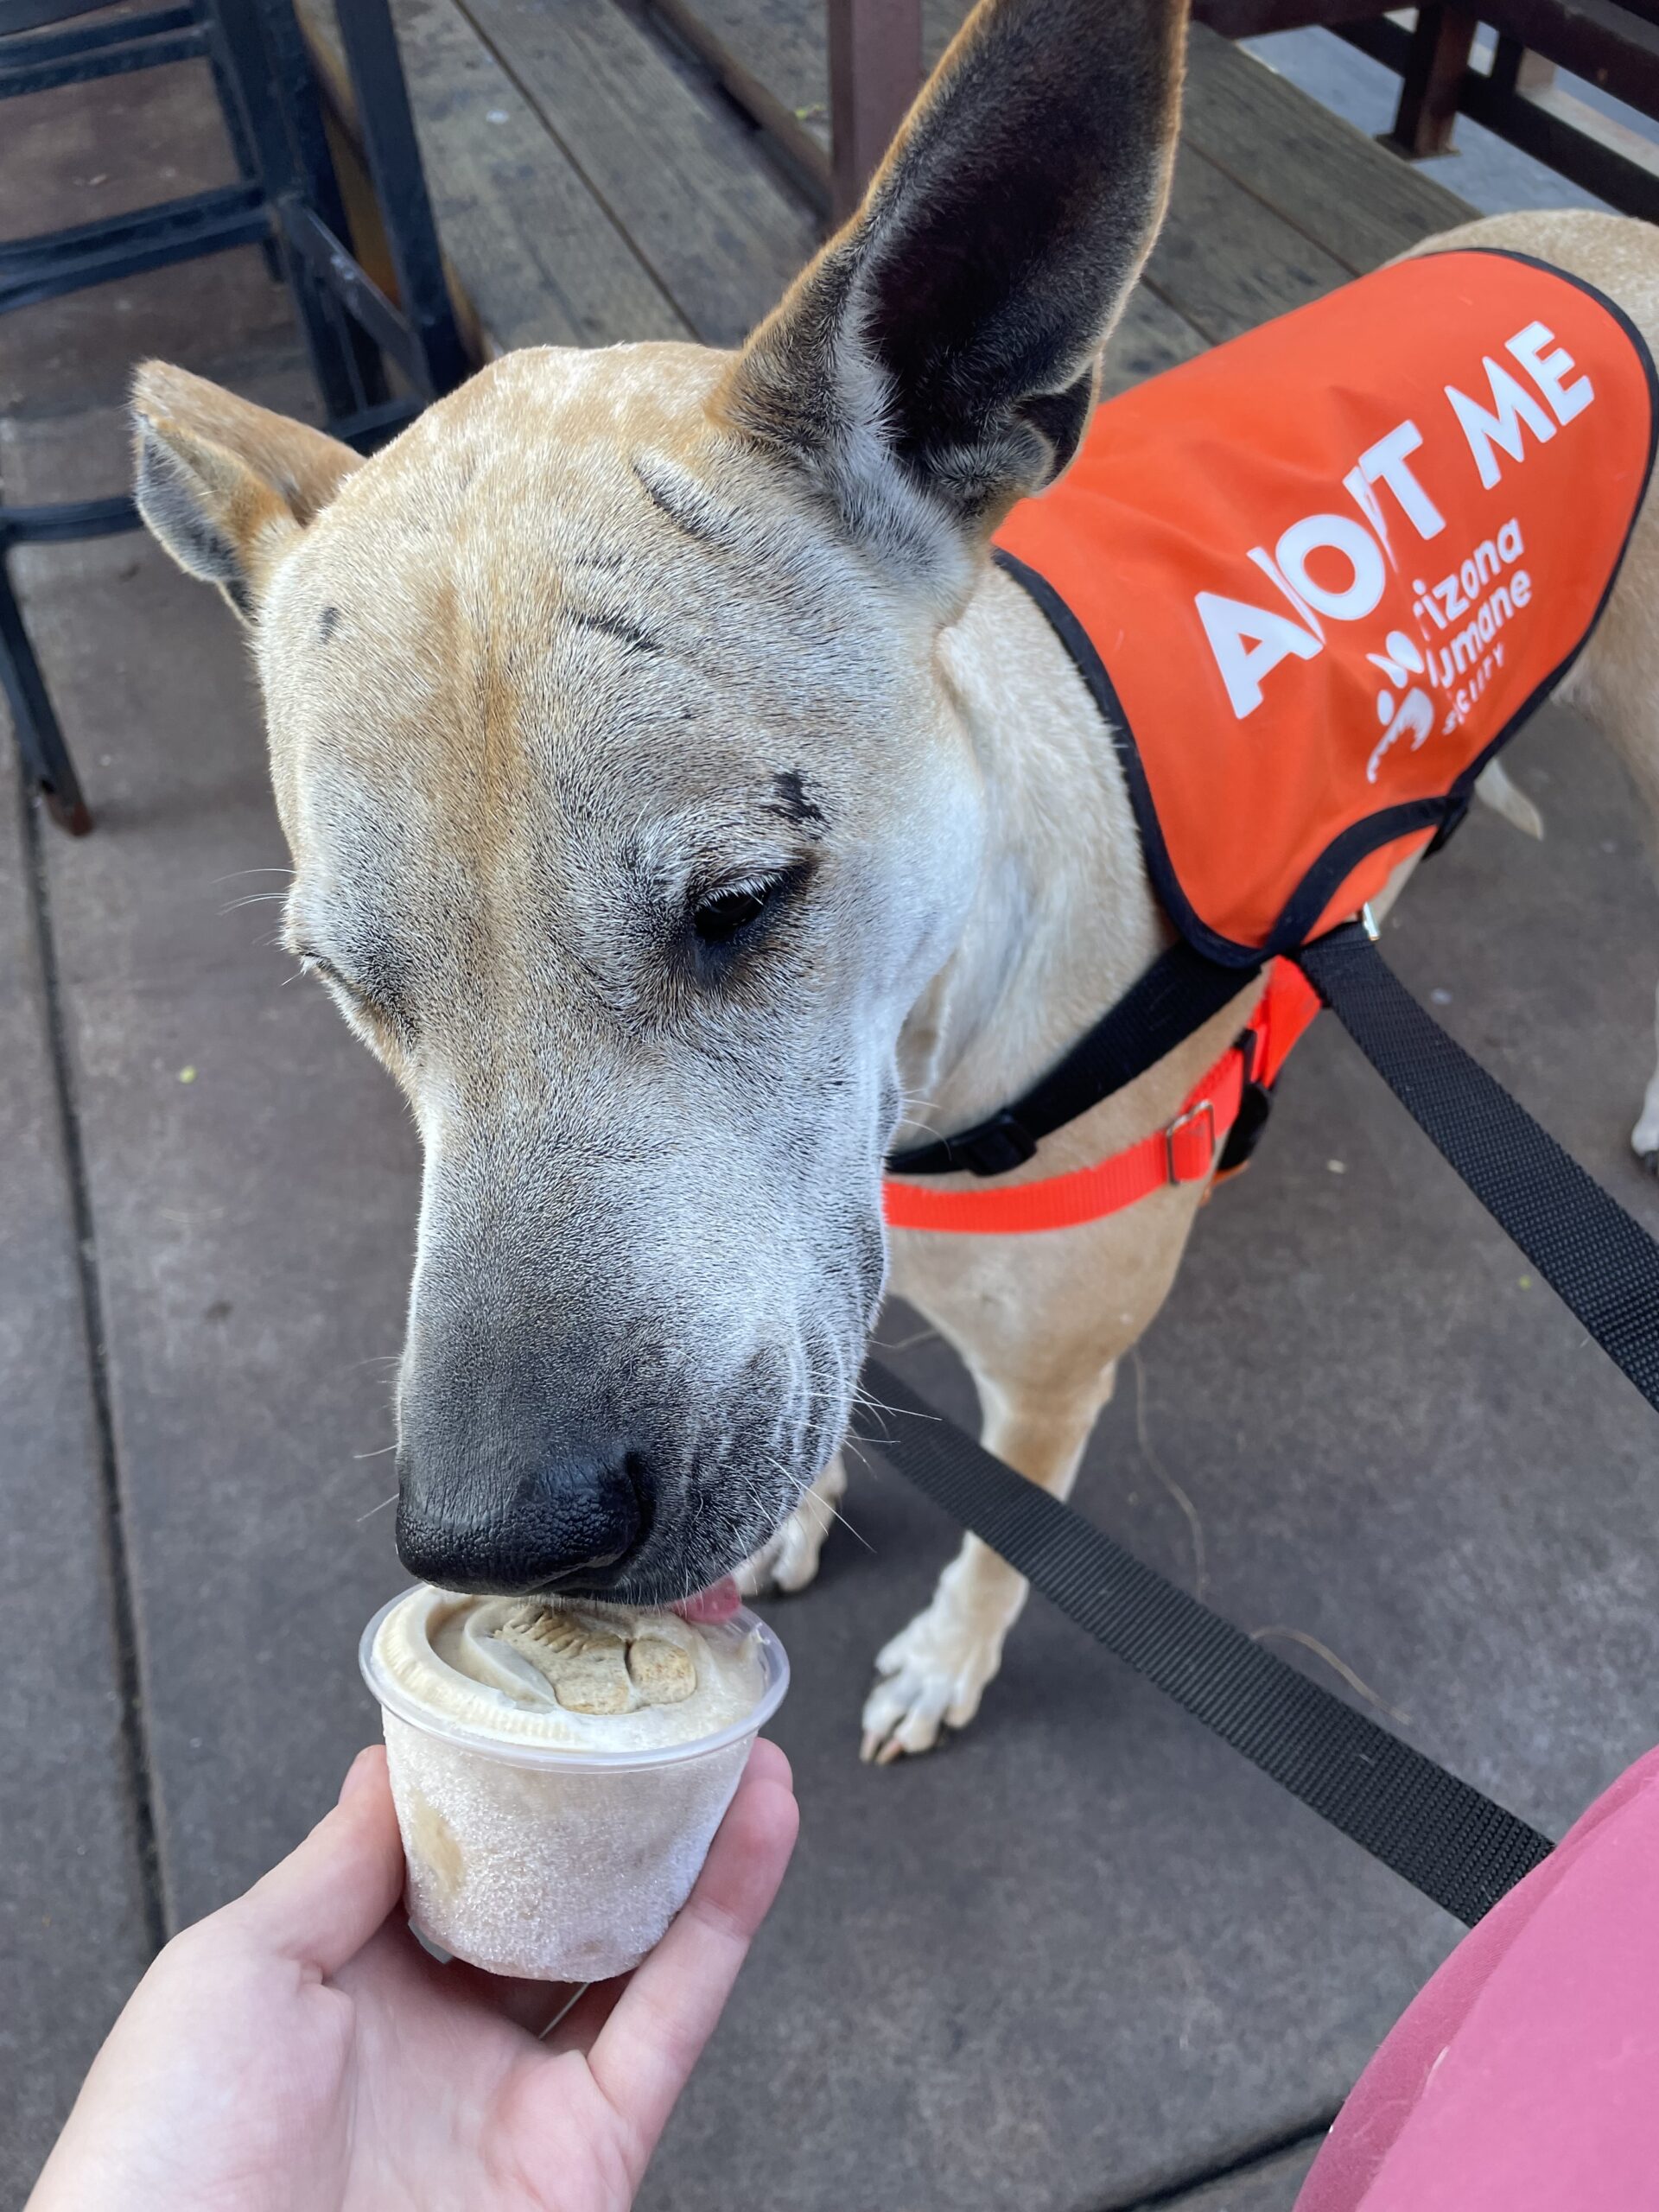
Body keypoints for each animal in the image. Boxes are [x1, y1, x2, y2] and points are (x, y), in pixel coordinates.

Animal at [133, 0, 1659, 1760]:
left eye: (740, 904)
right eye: (347, 987)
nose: (497, 1536)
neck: (940, 1061)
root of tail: (1609, 227)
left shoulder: (1051, 1382)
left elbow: (1009, 1533)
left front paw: (948, 1652)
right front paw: (800, 1525)